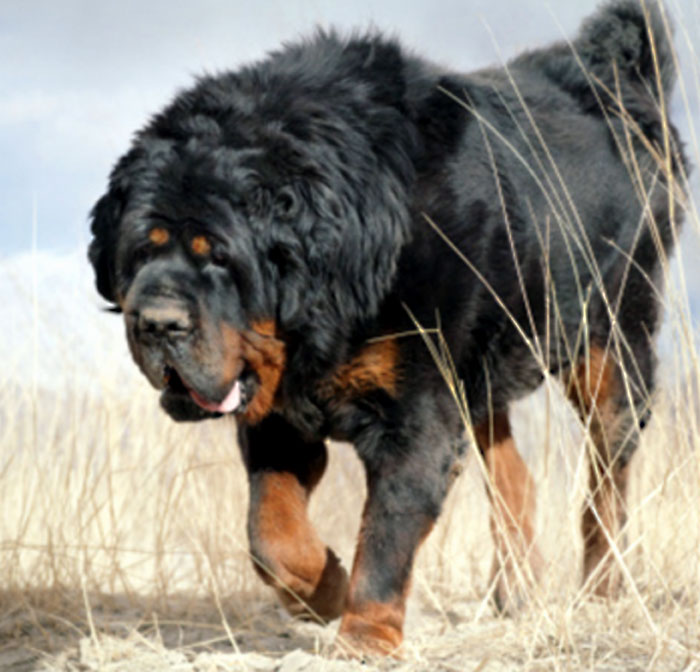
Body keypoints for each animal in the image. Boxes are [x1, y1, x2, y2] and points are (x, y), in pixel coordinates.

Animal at [90, 1, 688, 656]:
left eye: (219, 255)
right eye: (139, 253)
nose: (157, 322)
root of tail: (614, 81)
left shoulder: (415, 418)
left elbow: (385, 538)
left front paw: (363, 640)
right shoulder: (280, 414)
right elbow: (272, 535)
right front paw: (323, 590)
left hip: (610, 349)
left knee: (605, 486)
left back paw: (602, 588)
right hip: (482, 374)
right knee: (514, 476)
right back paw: (515, 589)